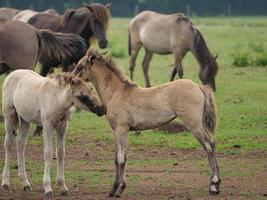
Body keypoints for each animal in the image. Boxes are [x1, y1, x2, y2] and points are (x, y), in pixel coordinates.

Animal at [74, 49, 222, 197]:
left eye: (80, 66)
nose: (73, 80)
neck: (116, 93)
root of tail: (199, 87)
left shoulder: (122, 129)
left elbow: (121, 158)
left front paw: (119, 189)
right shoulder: (117, 130)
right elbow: (117, 158)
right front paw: (114, 189)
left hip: (194, 125)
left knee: (209, 145)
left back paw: (213, 186)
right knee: (211, 144)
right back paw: (216, 184)